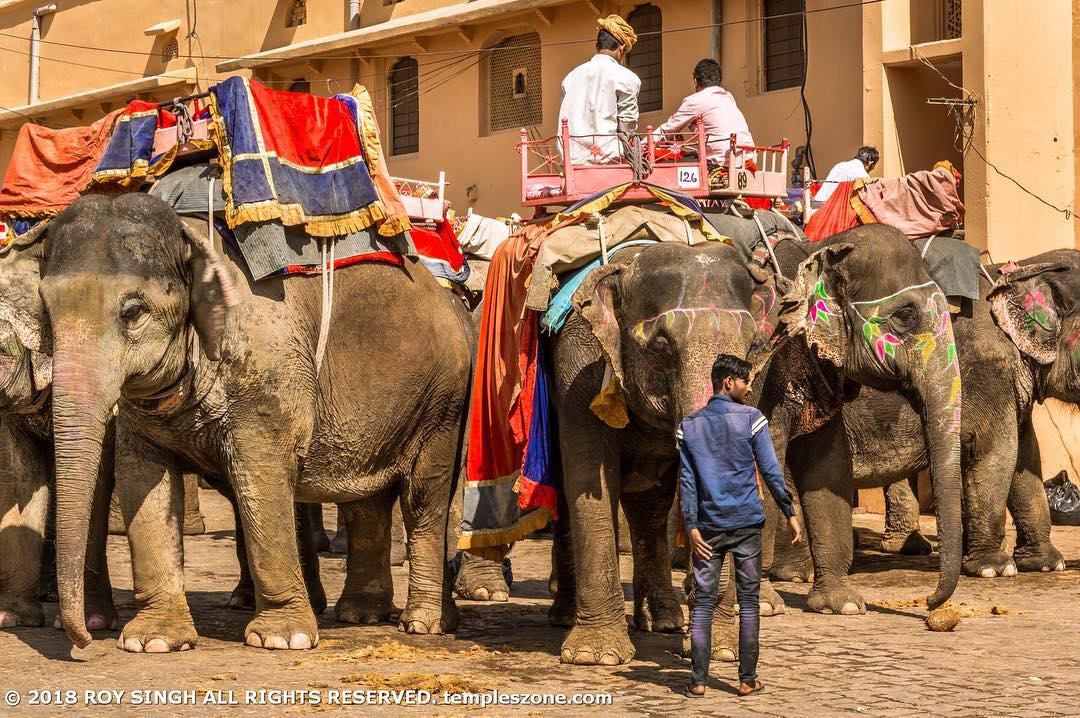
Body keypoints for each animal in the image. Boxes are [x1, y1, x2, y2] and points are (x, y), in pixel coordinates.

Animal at [38, 192, 473, 652]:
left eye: (133, 312)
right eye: (45, 309)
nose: (85, 639)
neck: (189, 235)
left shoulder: (268, 370)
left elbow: (260, 474)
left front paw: (282, 638)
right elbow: (144, 479)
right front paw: (152, 641)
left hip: (443, 400)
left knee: (424, 496)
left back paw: (423, 623)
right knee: (364, 501)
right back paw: (362, 614)